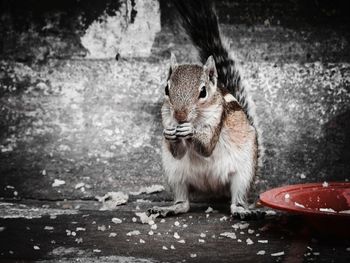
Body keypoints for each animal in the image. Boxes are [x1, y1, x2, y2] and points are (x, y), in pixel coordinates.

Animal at [149, 0, 264, 219]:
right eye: (166, 89)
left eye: (203, 92)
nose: (180, 116)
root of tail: (213, 189)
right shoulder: (167, 119)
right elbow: (177, 151)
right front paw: (169, 133)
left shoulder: (217, 119)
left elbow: (207, 147)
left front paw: (190, 131)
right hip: (175, 173)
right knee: (183, 203)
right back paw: (170, 208)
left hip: (244, 172)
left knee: (237, 198)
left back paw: (241, 209)